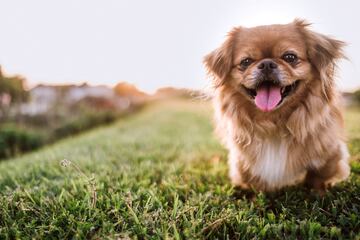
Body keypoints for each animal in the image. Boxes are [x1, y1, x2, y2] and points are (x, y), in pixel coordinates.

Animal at [204, 19, 350, 194]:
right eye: (246, 62)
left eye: (290, 57)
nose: (266, 64)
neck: (273, 122)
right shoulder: (242, 161)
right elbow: (251, 180)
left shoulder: (329, 152)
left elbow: (318, 177)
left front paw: (318, 194)